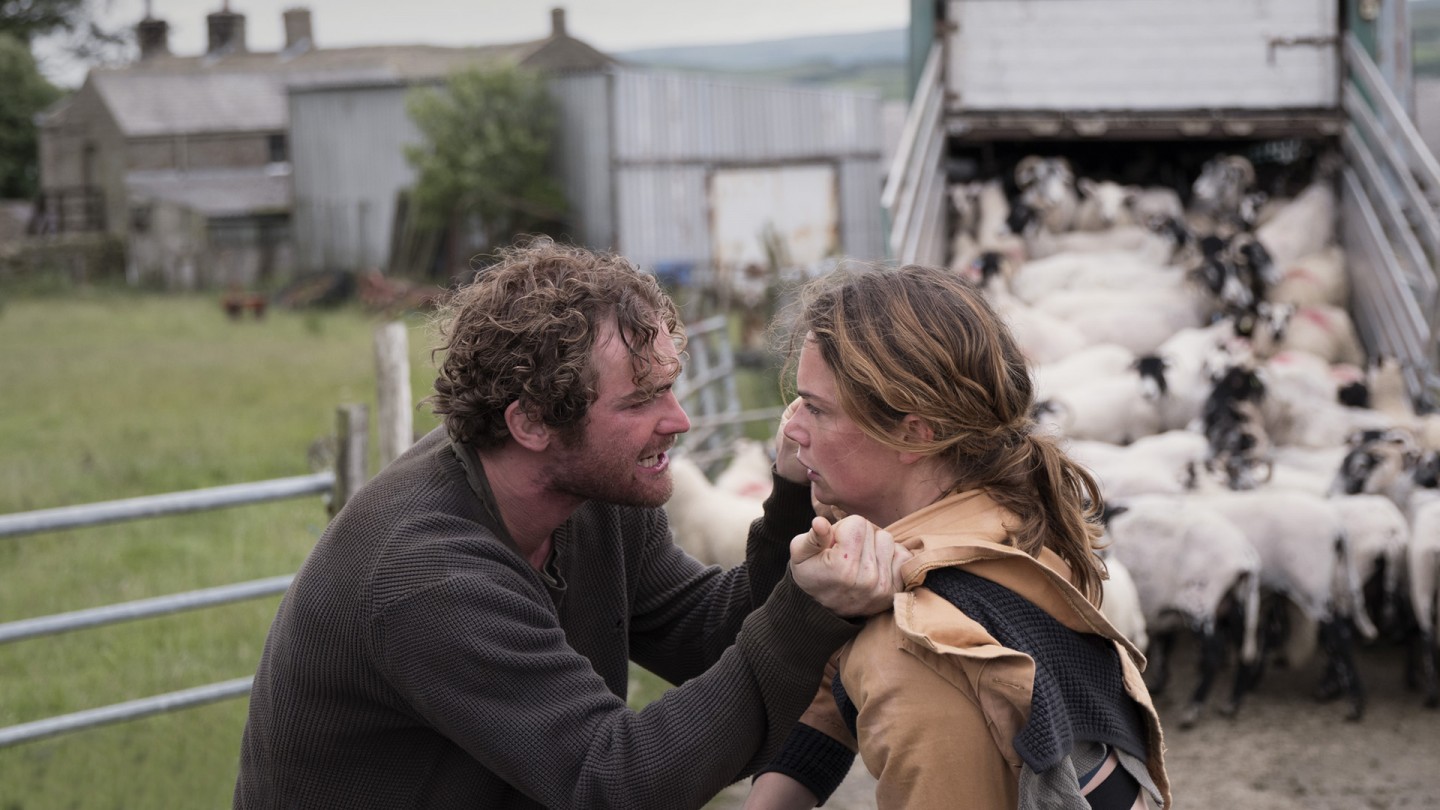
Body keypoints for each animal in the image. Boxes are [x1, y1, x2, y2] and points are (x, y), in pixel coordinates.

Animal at [1100, 495, 1261, 720]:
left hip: (1200, 604)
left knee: (1214, 652)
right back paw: (1232, 702)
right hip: (1234, 603)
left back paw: (1194, 707)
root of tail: (1244, 554)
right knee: (1243, 648)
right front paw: (1157, 684)